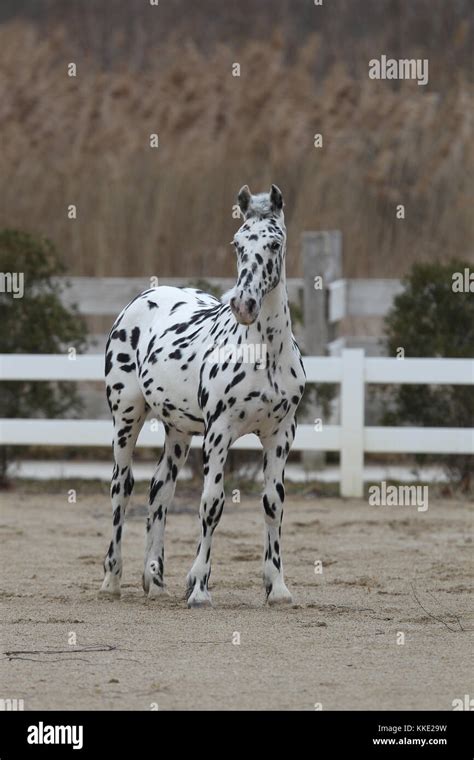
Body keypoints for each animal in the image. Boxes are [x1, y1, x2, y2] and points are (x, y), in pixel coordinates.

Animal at [101, 187, 308, 608]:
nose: (244, 305)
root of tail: (146, 295)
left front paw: (277, 587)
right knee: (121, 486)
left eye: (275, 243)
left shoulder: (281, 434)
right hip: (126, 417)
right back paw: (112, 579)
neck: (263, 352)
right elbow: (211, 504)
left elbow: (273, 505)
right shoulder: (219, 433)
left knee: (159, 490)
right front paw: (198, 587)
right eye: (237, 243)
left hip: (178, 431)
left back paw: (154, 579)